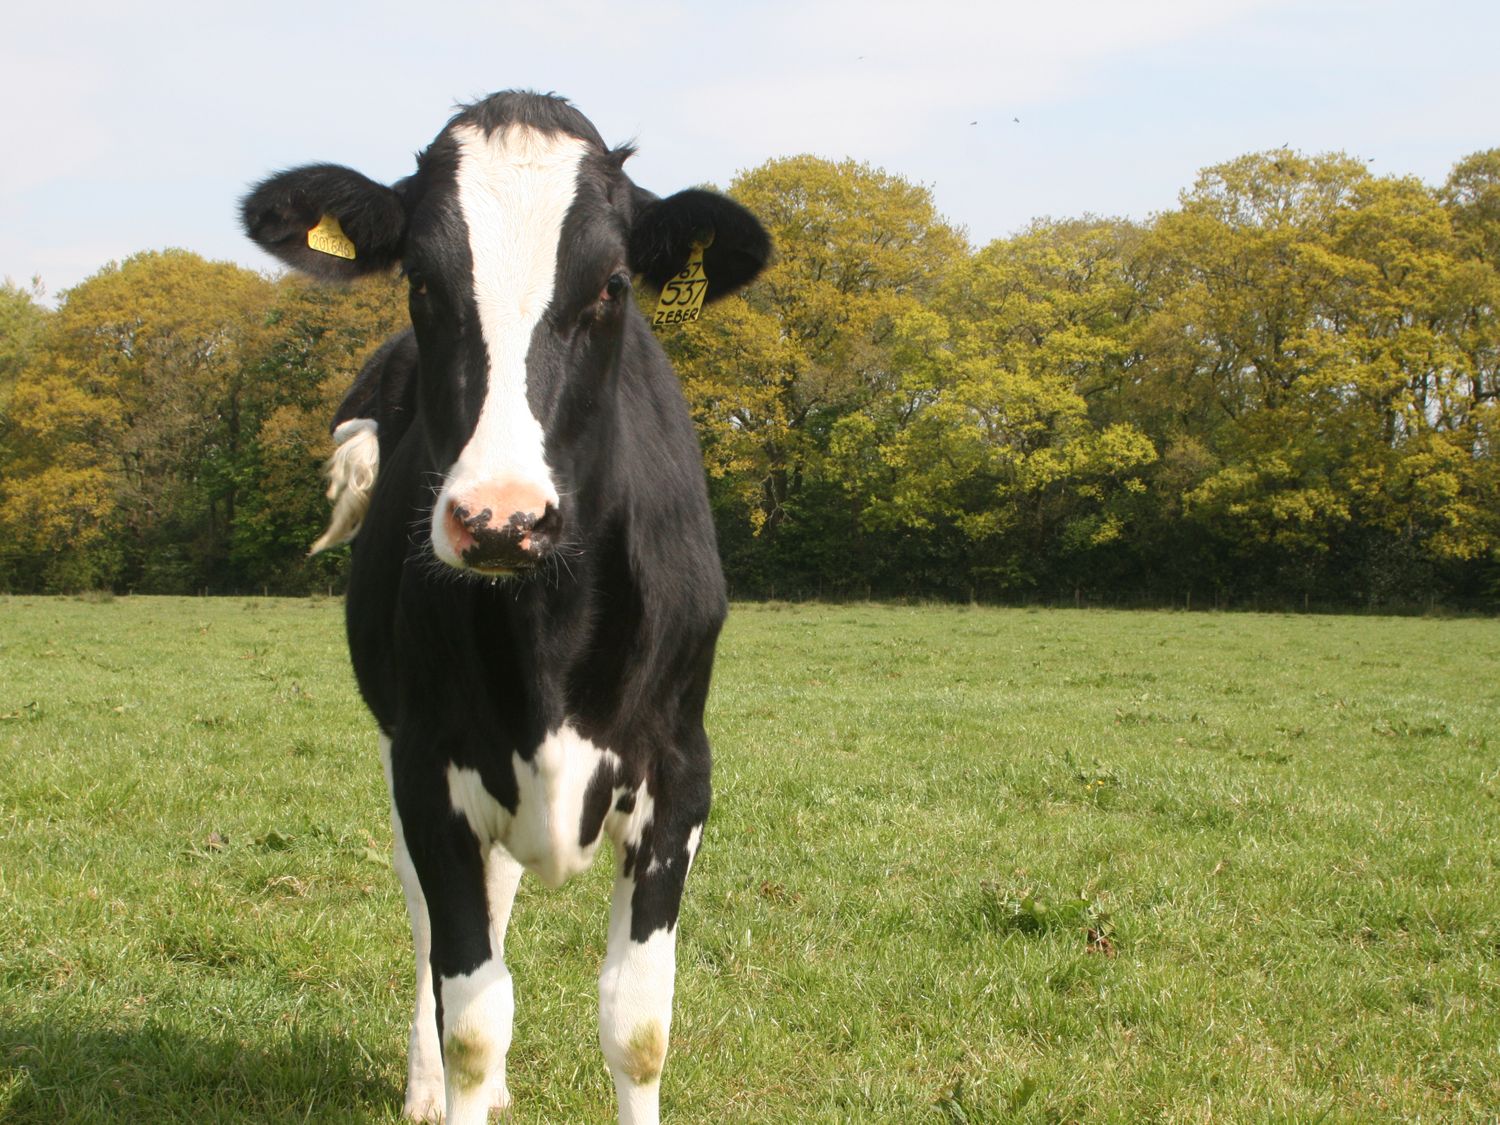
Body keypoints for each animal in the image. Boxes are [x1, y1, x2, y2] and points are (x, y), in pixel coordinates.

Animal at [243, 90, 774, 1125]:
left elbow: (638, 1025)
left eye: (611, 284)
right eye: (419, 278)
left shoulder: (682, 769)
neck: (547, 638)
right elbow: (473, 1016)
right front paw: (456, 1083)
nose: (500, 517)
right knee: (436, 935)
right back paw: (431, 1087)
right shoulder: (427, 766)